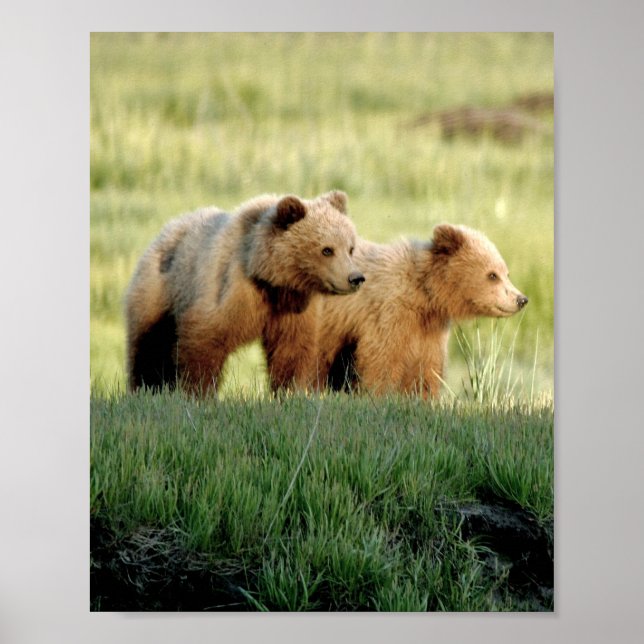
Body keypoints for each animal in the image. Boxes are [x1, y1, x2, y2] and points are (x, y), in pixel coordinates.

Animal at [125, 190, 365, 394]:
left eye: (350, 248)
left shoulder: (294, 308)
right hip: (159, 292)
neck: (269, 280)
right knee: (148, 347)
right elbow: (203, 342)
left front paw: (290, 391)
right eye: (327, 250)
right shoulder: (230, 289)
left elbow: (292, 351)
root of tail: (167, 228)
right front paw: (198, 391)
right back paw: (146, 388)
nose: (355, 278)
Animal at [318, 223, 528, 398]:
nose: (521, 299)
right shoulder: (391, 313)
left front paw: (423, 397)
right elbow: (383, 359)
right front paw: (379, 395)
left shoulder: (430, 328)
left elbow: (428, 366)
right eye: (492, 275)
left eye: (506, 273)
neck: (425, 294)